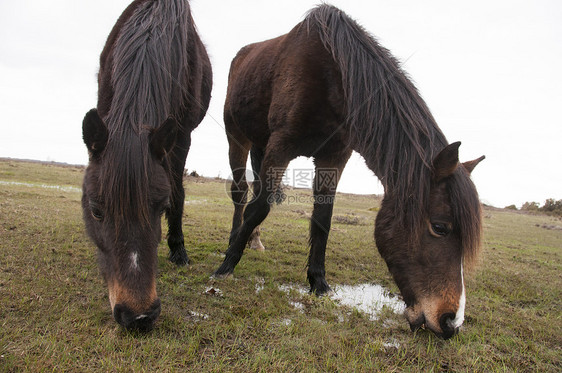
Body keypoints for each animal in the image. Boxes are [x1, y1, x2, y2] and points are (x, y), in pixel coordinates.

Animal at [80, 0, 209, 332]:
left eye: (160, 207)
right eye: (96, 210)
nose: (138, 317)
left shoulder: (181, 136)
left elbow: (178, 192)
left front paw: (178, 249)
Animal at [214, 4, 482, 338]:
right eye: (440, 227)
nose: (451, 322)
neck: (332, 75)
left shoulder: (333, 157)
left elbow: (322, 219)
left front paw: (318, 282)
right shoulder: (281, 145)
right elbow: (259, 207)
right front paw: (226, 267)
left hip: (260, 145)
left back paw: (254, 240)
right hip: (237, 136)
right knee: (241, 195)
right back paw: (233, 243)